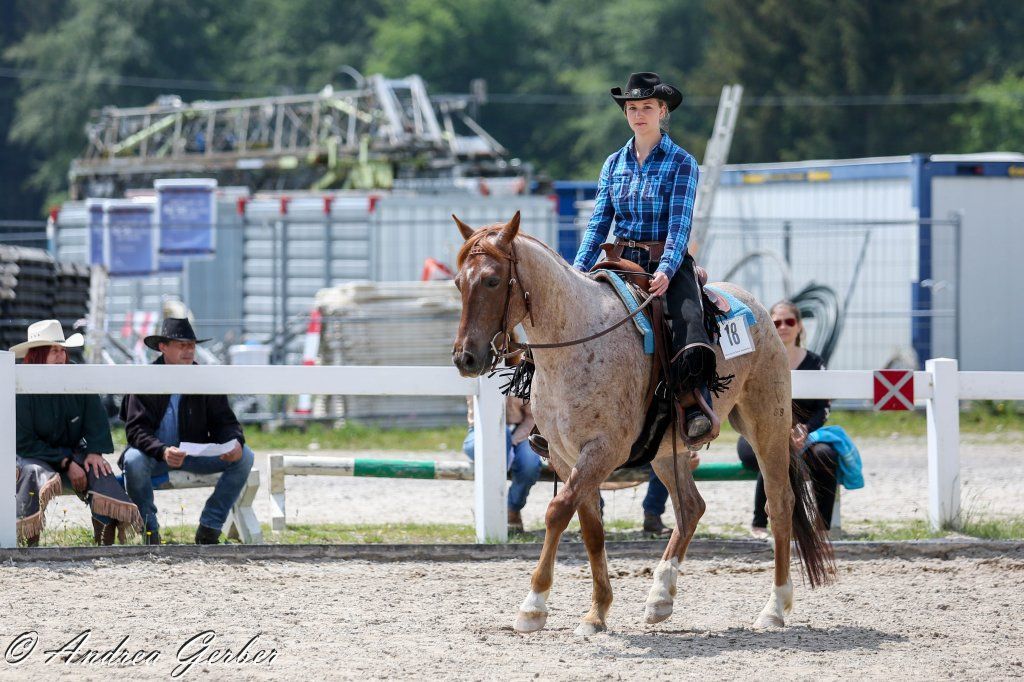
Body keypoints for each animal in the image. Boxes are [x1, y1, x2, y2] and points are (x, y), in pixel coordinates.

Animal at [450, 211, 835, 635]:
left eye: (492, 280)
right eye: (458, 282)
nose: (465, 358)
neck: (578, 341)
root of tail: (756, 308)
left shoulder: (603, 450)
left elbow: (557, 512)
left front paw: (533, 607)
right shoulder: (566, 456)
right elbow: (590, 527)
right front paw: (597, 611)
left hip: (766, 423)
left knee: (780, 503)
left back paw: (774, 608)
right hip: (668, 451)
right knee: (690, 507)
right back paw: (660, 598)